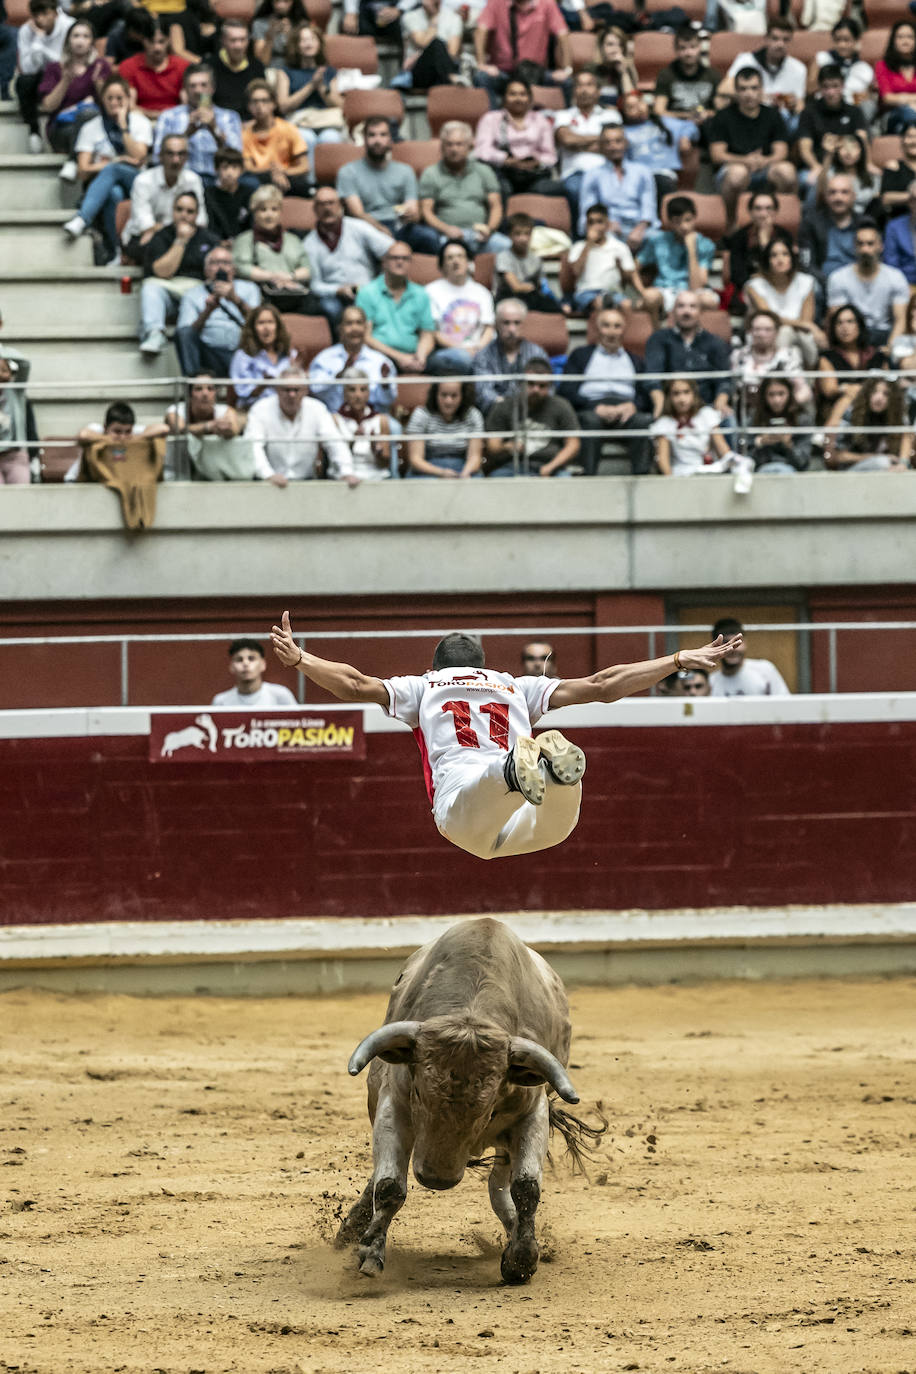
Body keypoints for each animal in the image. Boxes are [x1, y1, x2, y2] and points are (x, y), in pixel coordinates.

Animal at [333, 917, 604, 1280]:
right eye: (419, 1092)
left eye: (489, 1109)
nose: (436, 1179)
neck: (471, 1016)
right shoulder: (394, 1105)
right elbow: (389, 1185)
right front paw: (370, 1252)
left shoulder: (532, 1113)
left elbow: (527, 1187)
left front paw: (521, 1260)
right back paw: (351, 1229)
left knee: (499, 1186)